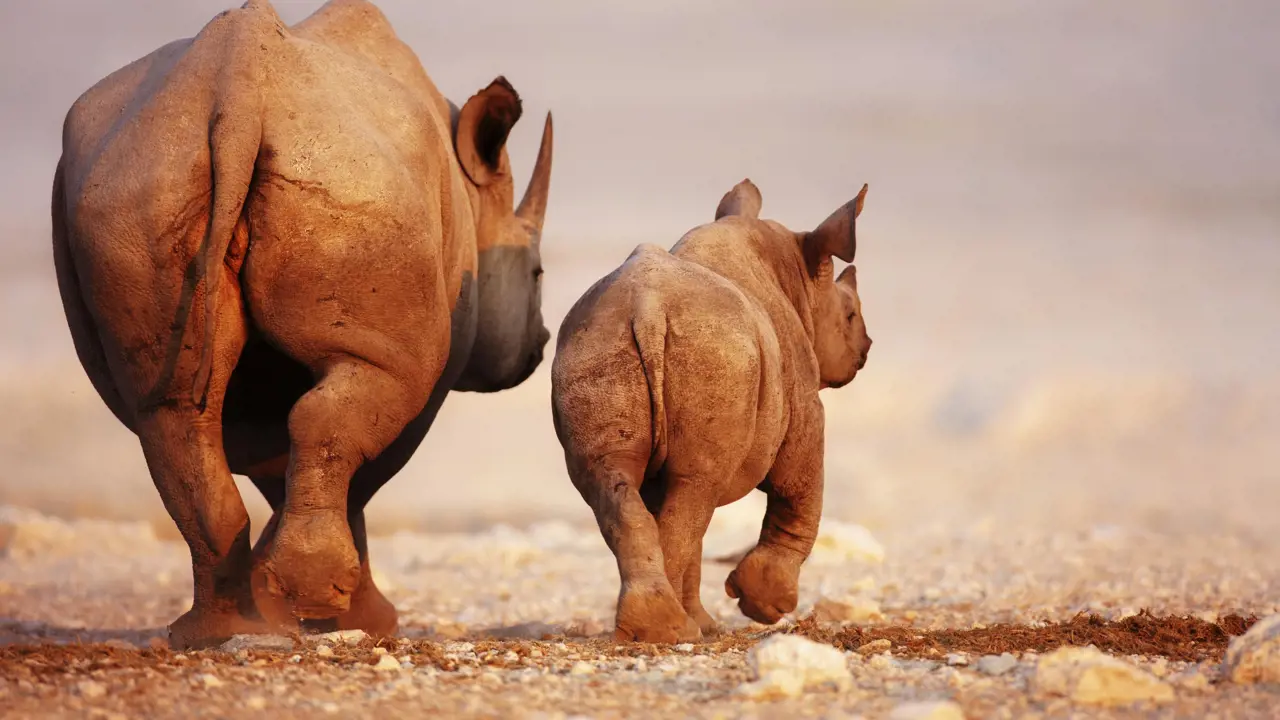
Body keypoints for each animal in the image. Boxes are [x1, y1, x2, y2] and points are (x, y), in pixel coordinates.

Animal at [51, 0, 550, 650]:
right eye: (537, 273)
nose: (540, 346)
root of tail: (236, 90)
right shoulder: (428, 360)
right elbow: (364, 470)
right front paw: (353, 617)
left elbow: (276, 461)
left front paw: (282, 597)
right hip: (351, 179)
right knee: (347, 400)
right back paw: (315, 609)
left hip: (135, 182)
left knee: (170, 414)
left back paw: (213, 631)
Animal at [550, 178, 870, 638]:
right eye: (850, 315)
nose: (866, 347)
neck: (798, 279)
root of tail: (647, 308)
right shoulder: (804, 402)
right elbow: (798, 490)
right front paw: (765, 605)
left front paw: (708, 623)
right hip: (716, 353)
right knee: (694, 491)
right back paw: (675, 630)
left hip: (595, 345)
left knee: (620, 483)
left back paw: (661, 628)